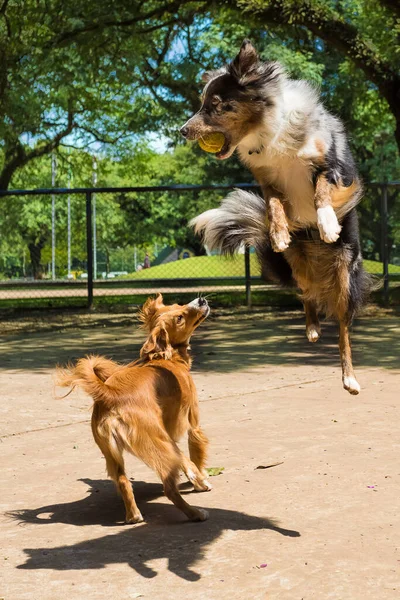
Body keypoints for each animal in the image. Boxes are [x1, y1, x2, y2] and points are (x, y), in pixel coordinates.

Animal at [57, 298, 212, 524]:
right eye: (179, 317)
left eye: (178, 304)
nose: (201, 300)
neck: (166, 358)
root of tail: (110, 394)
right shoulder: (192, 425)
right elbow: (195, 453)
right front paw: (201, 480)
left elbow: (186, 459)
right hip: (157, 441)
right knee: (170, 489)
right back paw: (195, 513)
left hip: (115, 453)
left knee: (123, 481)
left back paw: (133, 516)